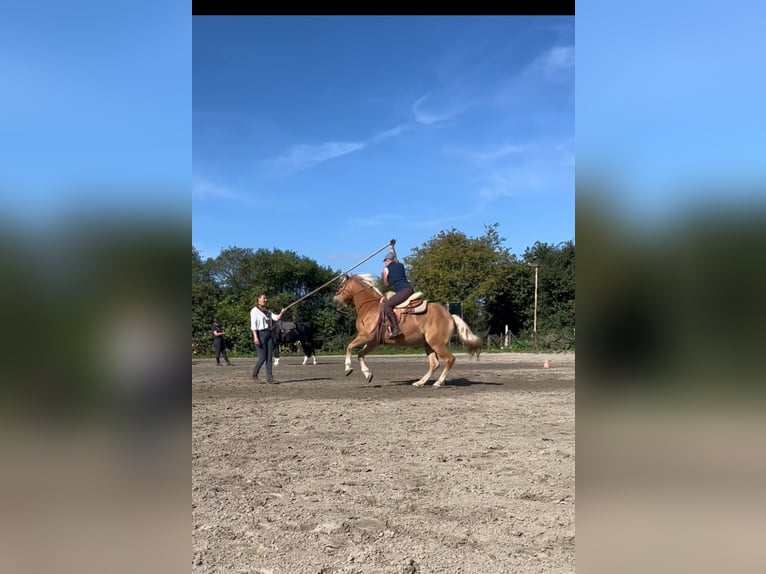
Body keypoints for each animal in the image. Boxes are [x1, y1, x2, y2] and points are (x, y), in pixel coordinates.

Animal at [332, 274, 484, 390]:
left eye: (341, 287)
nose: (335, 301)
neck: (370, 308)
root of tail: (449, 316)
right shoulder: (373, 342)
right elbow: (360, 354)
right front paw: (368, 374)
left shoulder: (365, 337)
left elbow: (349, 347)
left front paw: (348, 369)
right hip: (428, 344)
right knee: (434, 363)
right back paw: (420, 382)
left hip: (436, 344)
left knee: (449, 359)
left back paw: (438, 383)